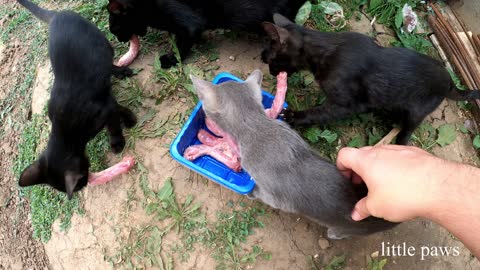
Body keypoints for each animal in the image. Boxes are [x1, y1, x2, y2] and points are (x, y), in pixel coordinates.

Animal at [16, 0, 136, 198]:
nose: (86, 183)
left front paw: (119, 139)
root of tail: (57, 15)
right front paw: (128, 118)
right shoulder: (106, 102)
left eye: (80, 182)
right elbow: (117, 106)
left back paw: (120, 71)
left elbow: (113, 123)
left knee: (109, 61)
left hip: (103, 43)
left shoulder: (104, 109)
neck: (65, 130)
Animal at [260, 14, 480, 146]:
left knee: (407, 132)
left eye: (271, 59)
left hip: (416, 112)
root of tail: (450, 80)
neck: (325, 49)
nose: (266, 65)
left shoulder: (348, 104)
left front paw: (293, 116)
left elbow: (318, 113)